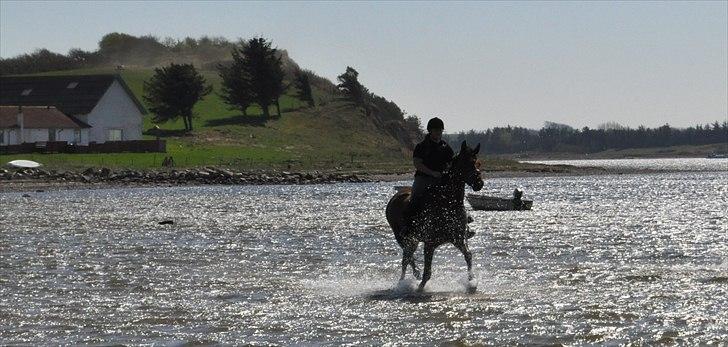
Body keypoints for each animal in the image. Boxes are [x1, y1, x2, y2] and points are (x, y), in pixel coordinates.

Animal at [384, 141, 486, 290]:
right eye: (466, 163)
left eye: (478, 163)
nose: (479, 183)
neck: (447, 204)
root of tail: (394, 198)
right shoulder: (430, 243)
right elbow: (427, 271)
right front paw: (420, 287)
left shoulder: (459, 239)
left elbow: (468, 255)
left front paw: (472, 281)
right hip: (402, 238)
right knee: (406, 258)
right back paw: (403, 281)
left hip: (412, 240)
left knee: (408, 257)